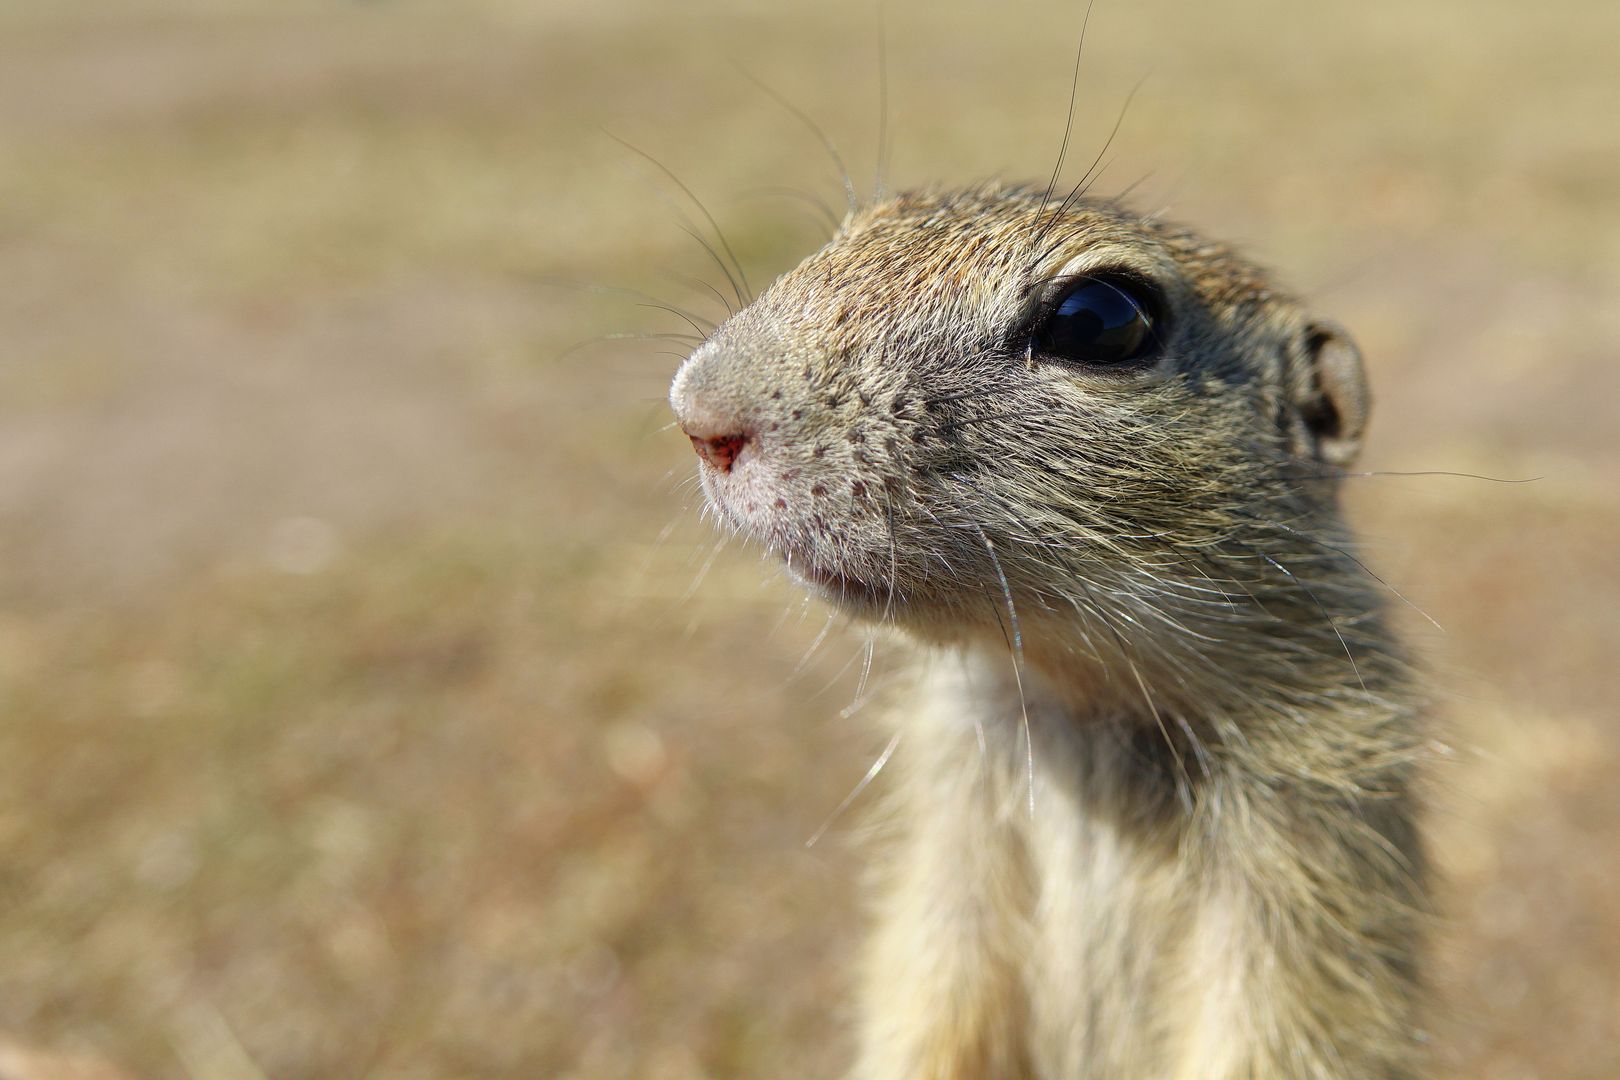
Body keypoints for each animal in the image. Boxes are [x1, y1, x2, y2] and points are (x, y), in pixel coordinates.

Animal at [664, 181, 1425, 1075]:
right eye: (863, 222)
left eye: (1099, 320)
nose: (699, 414)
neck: (1082, 695)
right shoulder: (950, 845)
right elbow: (933, 997)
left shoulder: (1318, 841)